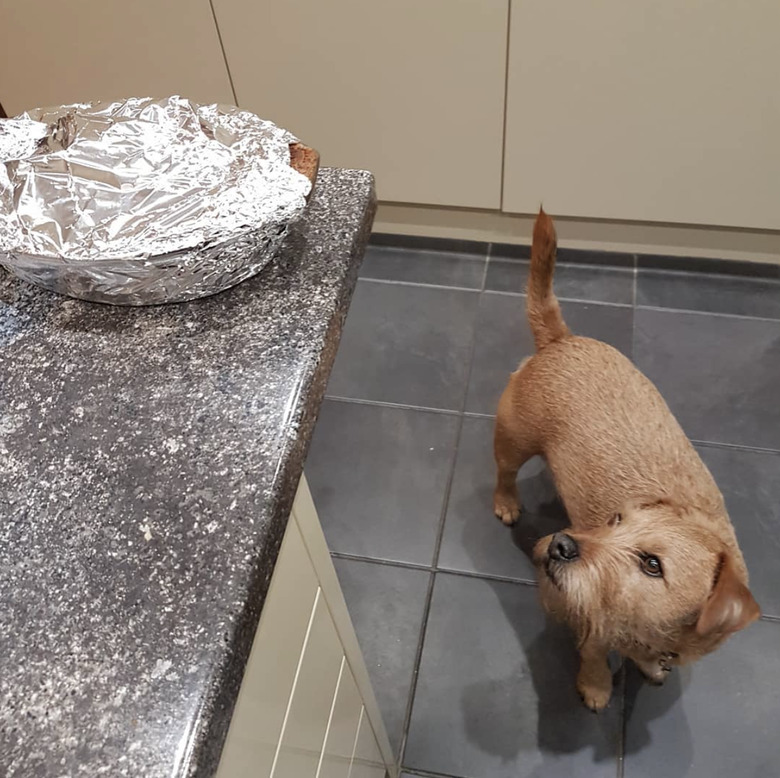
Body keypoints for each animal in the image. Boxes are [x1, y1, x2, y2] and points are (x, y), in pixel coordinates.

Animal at [494, 208, 760, 708]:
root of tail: (562, 339)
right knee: (504, 472)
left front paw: (648, 667)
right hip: (512, 440)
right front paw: (597, 686)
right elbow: (594, 654)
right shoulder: (593, 625)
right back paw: (506, 502)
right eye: (617, 520)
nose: (562, 544)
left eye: (652, 564)